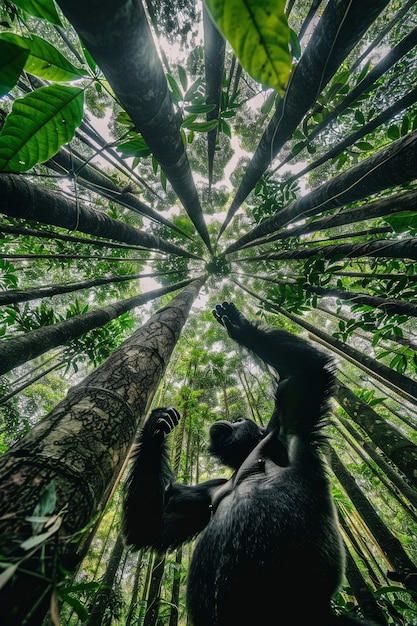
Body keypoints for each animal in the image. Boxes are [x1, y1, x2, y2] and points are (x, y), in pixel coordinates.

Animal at [121, 300, 376, 620]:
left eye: (239, 419)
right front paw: (157, 425)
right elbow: (150, 525)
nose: (227, 419)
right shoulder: (210, 488)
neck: (243, 456)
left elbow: (305, 372)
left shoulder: (285, 425)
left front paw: (239, 325)